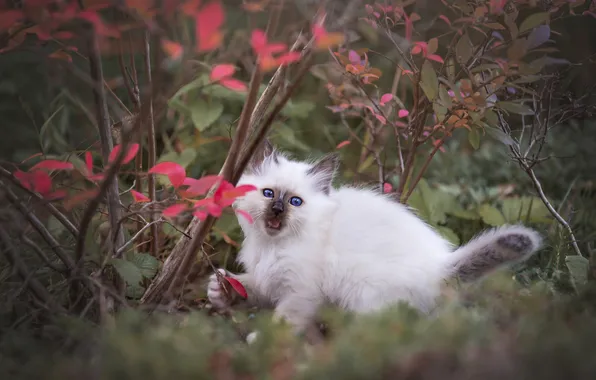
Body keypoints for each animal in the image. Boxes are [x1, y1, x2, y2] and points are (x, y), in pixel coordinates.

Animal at [207, 142, 544, 332]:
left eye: (295, 202)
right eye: (268, 194)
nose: (277, 210)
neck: (272, 245)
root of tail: (440, 267)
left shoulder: (300, 292)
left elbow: (284, 323)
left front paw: (264, 344)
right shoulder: (268, 279)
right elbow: (249, 287)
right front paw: (219, 289)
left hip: (365, 297)